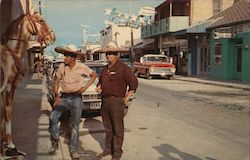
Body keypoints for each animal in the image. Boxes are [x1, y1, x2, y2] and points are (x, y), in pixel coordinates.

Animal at [0, 11, 55, 156]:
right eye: (40, 20)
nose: (52, 37)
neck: (10, 54)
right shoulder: (8, 87)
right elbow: (7, 112)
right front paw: (10, 145)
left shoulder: (11, 87)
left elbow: (3, 114)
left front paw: (4, 144)